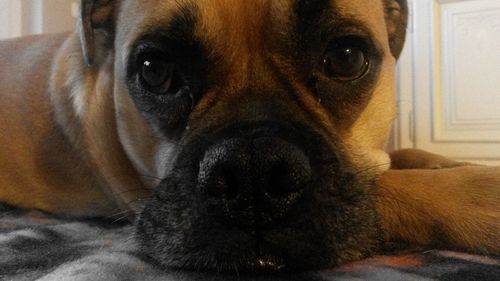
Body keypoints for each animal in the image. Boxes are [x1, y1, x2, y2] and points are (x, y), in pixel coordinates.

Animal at [0, 0, 498, 272]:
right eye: (154, 70)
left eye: (346, 56)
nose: (252, 168)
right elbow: (399, 184)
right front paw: (480, 186)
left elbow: (406, 156)